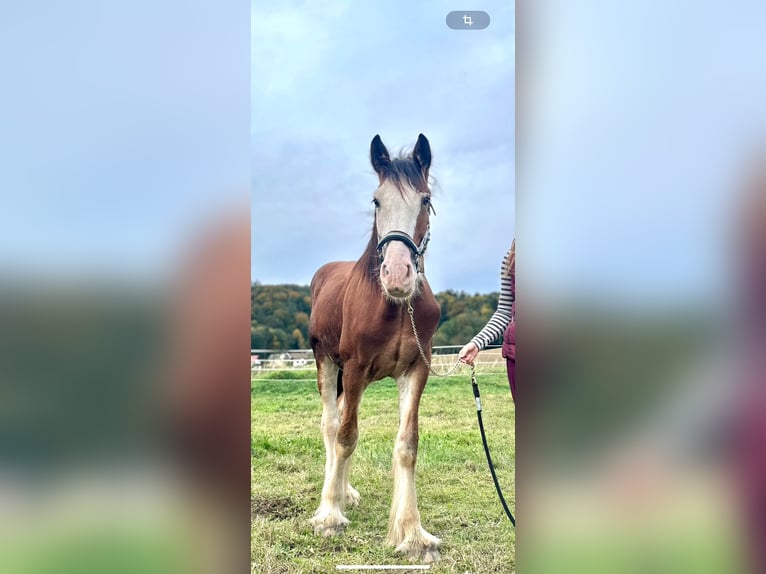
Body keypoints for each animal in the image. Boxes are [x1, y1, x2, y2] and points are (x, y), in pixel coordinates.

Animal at [308, 134, 440, 564]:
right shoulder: (353, 367)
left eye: (425, 200)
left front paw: (413, 533)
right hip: (327, 364)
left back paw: (344, 491)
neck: (395, 307)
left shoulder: (416, 371)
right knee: (332, 424)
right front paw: (329, 516)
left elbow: (407, 445)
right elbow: (346, 435)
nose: (397, 275)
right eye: (377, 200)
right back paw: (334, 496)